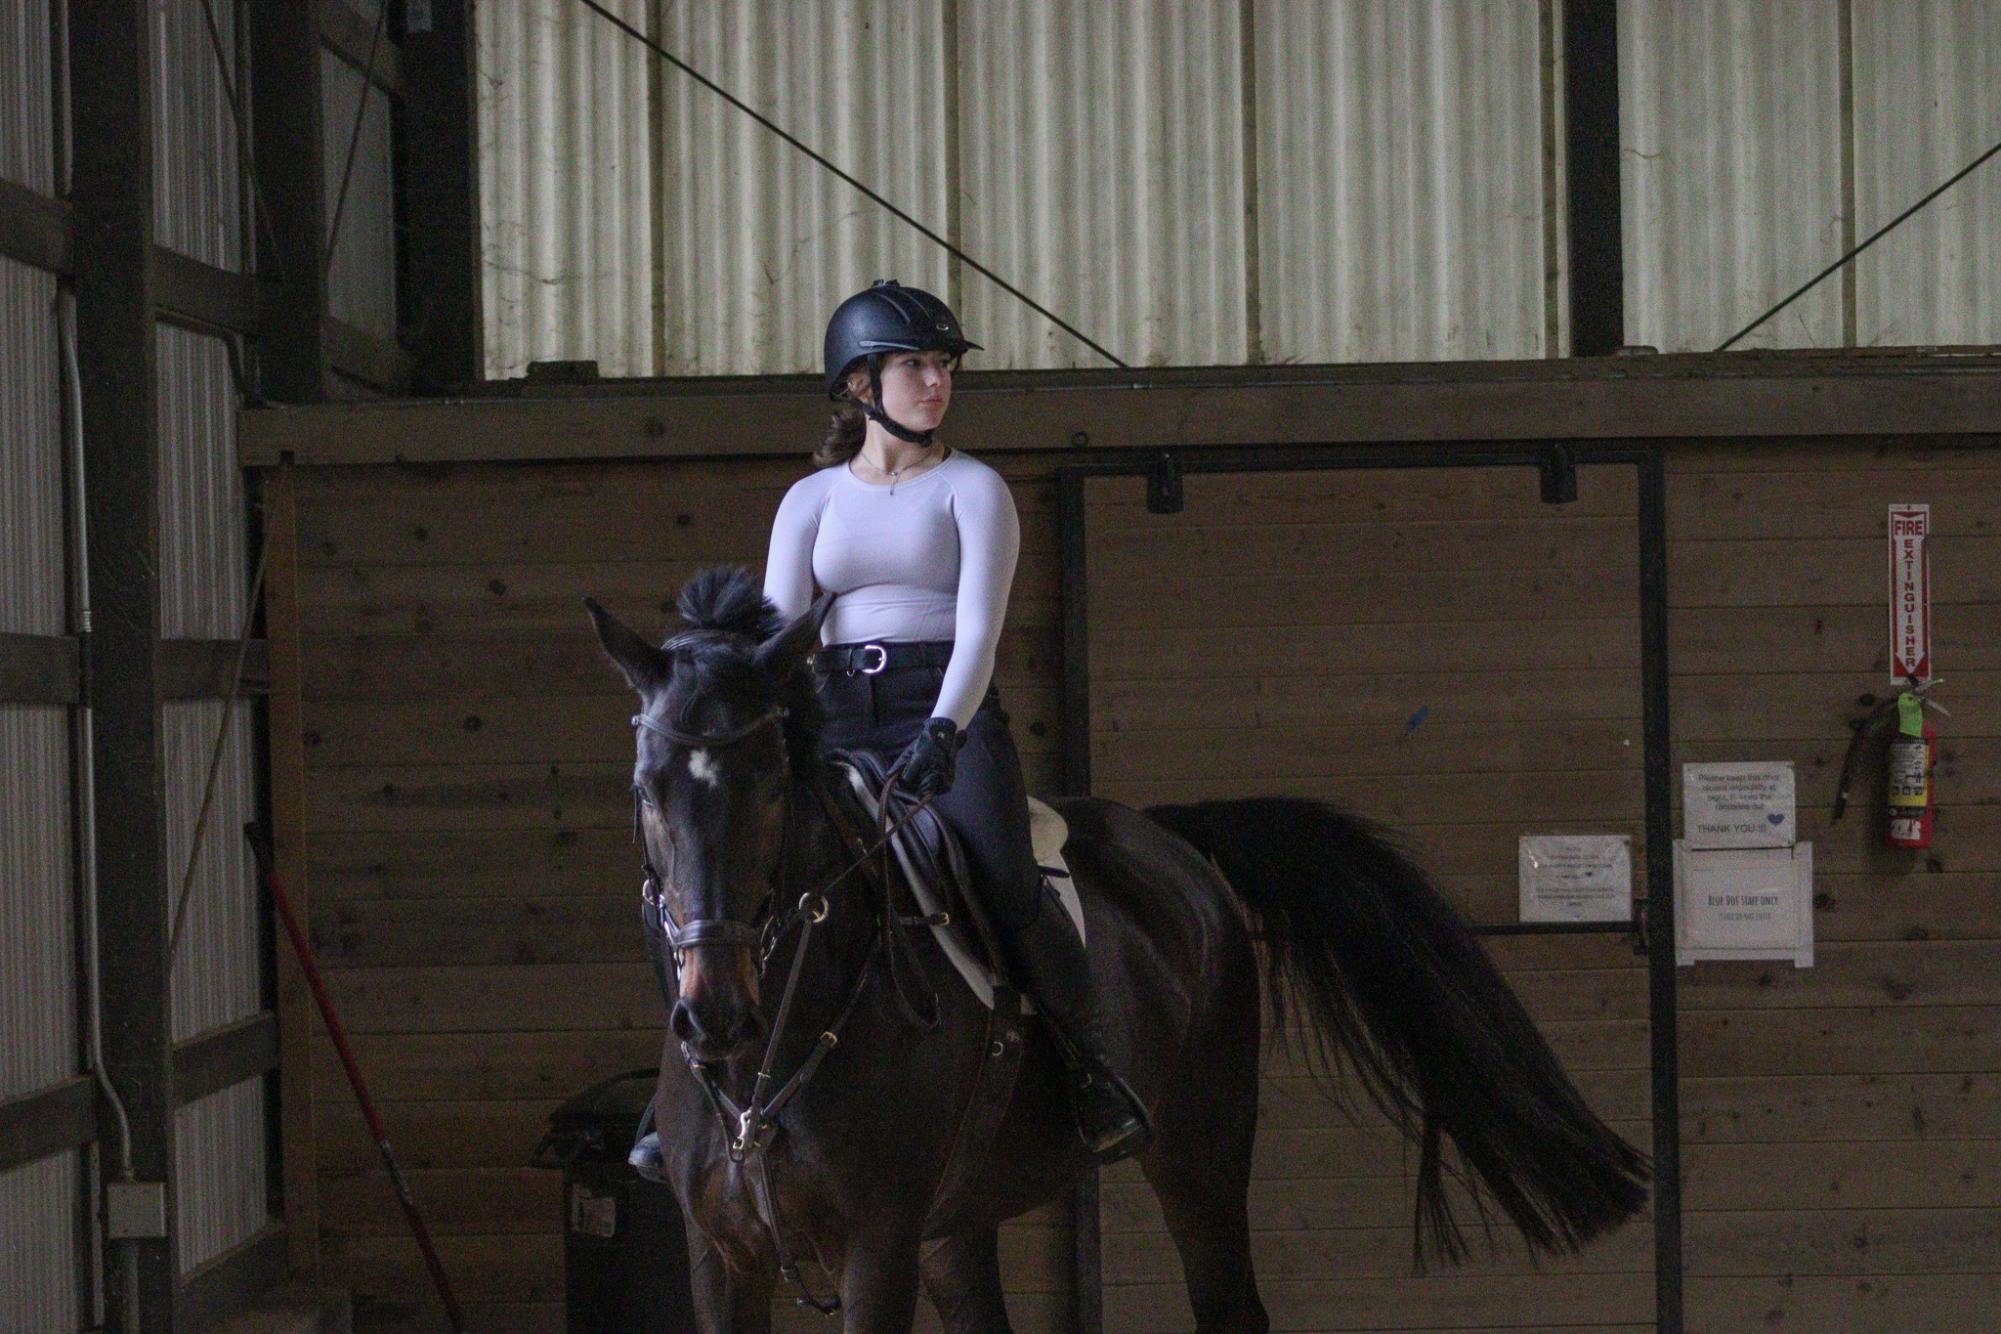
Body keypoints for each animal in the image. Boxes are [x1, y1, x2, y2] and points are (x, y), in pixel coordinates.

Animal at [584, 572, 1648, 1334]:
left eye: (771, 782)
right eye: (645, 787)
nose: (715, 1015)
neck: (780, 1040)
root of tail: (1165, 839)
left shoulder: (875, 1244)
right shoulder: (722, 1257)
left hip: (1199, 1150)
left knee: (1229, 1306)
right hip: (957, 1220)